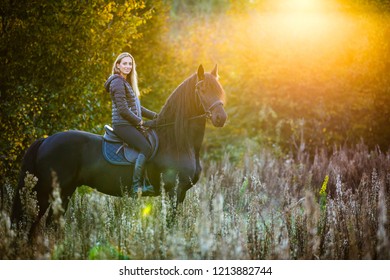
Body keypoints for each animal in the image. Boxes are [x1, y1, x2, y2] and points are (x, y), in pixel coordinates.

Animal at [12, 64, 227, 235]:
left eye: (220, 89)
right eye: (202, 89)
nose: (221, 118)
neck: (176, 142)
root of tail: (45, 140)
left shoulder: (180, 194)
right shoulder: (173, 192)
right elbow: (169, 226)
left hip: (65, 191)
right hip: (47, 191)